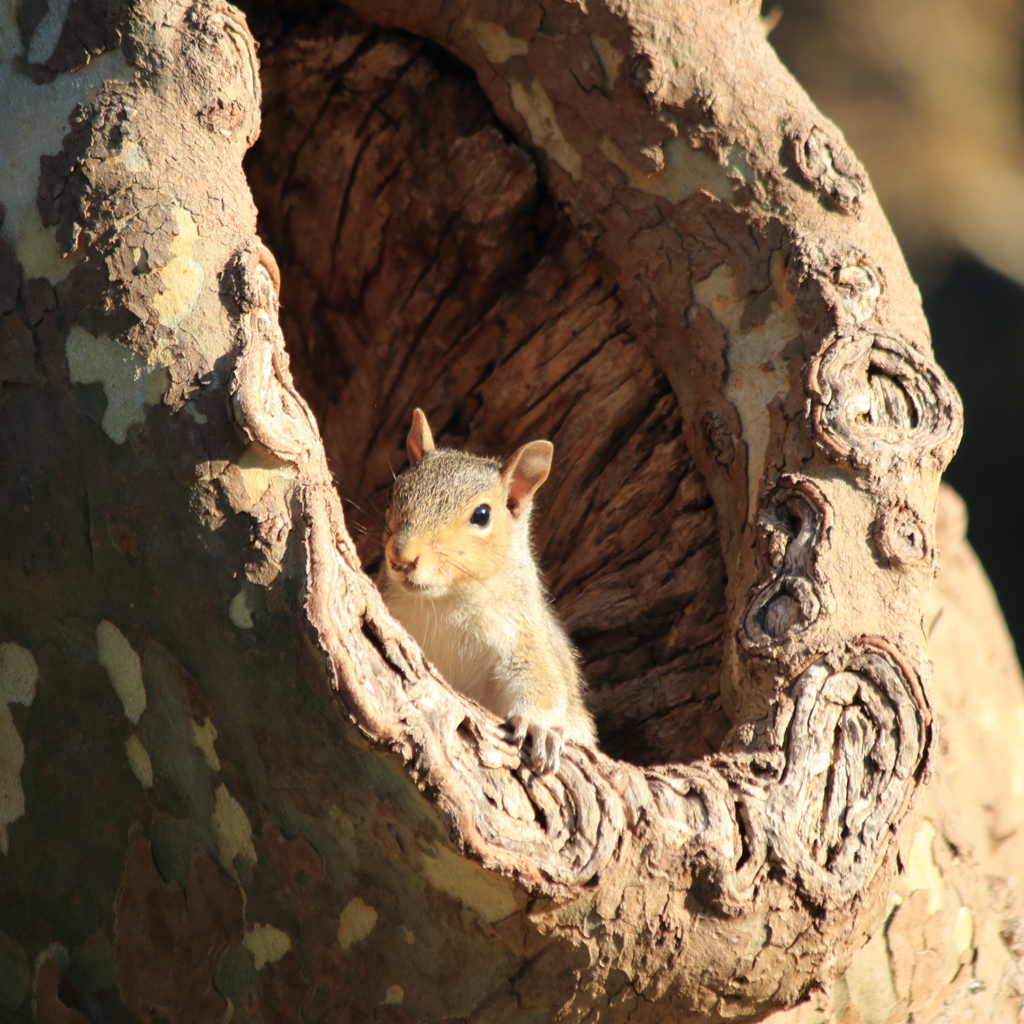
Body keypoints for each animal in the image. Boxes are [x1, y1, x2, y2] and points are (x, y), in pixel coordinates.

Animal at [378, 411, 598, 770]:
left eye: (481, 515)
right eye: (393, 493)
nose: (402, 558)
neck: (447, 602)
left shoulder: (526, 636)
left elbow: (541, 680)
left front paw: (538, 727)